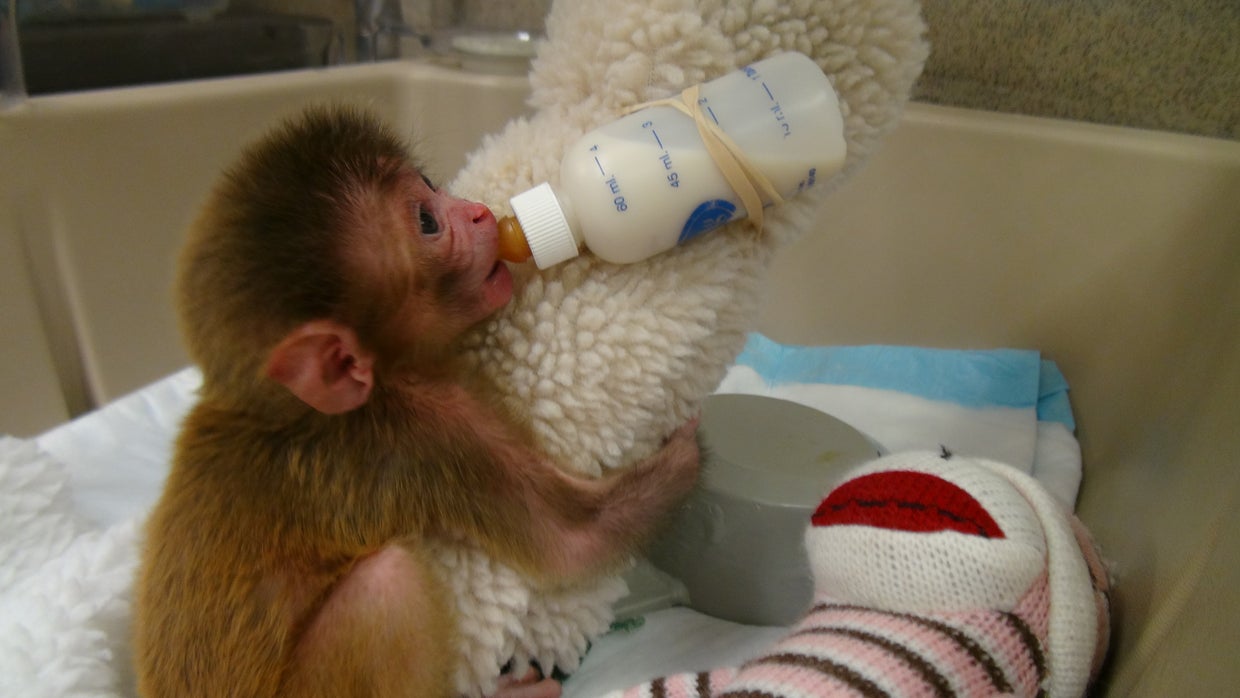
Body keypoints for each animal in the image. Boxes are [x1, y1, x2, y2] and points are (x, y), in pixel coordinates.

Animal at [132, 105, 701, 698]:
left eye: (429, 183)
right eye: (428, 221)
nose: (479, 214)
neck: (289, 410)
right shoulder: (424, 431)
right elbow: (574, 538)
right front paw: (690, 444)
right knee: (387, 585)